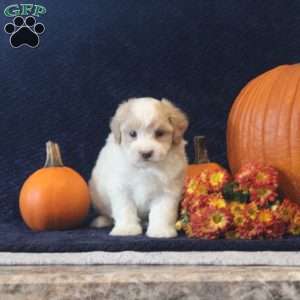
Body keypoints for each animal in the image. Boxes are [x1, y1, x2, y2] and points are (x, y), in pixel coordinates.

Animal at [88, 97, 189, 238]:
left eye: (159, 133)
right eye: (132, 133)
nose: (146, 153)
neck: (145, 169)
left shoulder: (167, 191)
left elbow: (162, 211)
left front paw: (160, 230)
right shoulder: (121, 188)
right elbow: (125, 209)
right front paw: (126, 229)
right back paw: (102, 221)